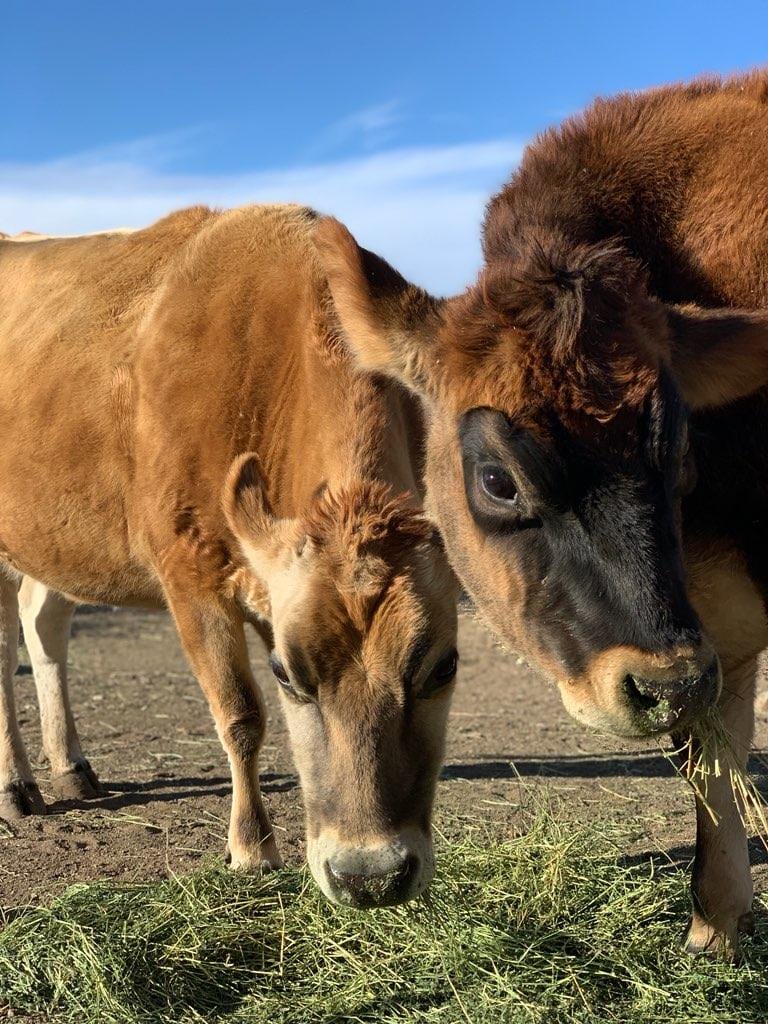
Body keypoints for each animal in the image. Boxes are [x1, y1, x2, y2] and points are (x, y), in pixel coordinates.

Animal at [0, 203, 456, 909]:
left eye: (444, 667)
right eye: (286, 675)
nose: (370, 876)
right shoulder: (190, 573)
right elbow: (239, 714)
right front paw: (252, 848)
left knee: (41, 623)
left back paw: (71, 767)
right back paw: (17, 787)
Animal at [315, 70, 768, 950]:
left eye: (677, 441)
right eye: (497, 480)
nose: (660, 684)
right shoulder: (717, 633)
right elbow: (714, 761)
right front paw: (717, 926)